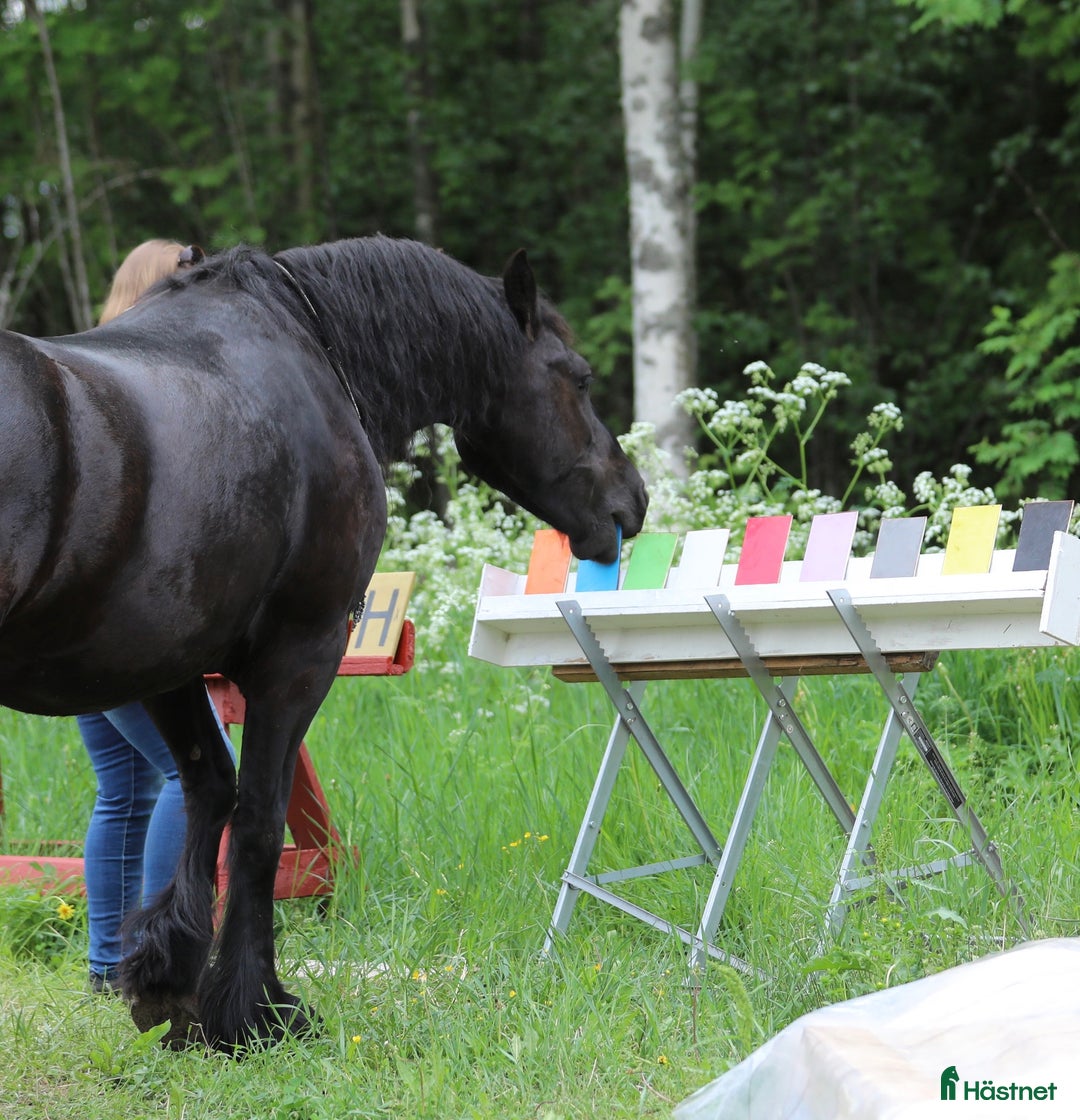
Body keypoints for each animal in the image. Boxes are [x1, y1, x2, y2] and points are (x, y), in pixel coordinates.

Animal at [0, 235, 648, 1050]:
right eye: (580, 378)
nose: (634, 498)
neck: (307, 349)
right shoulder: (300, 654)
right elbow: (256, 823)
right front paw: (255, 1010)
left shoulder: (168, 663)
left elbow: (209, 791)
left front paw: (171, 985)